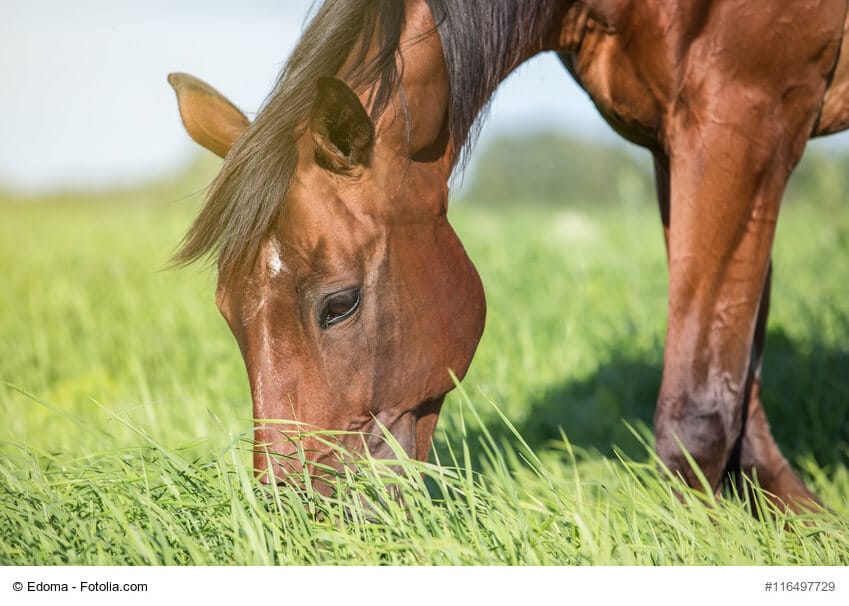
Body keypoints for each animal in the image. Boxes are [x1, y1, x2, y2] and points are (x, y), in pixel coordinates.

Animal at [168, 0, 849, 511]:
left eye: (339, 304)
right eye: (228, 313)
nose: (298, 517)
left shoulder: (741, 118)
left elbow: (699, 408)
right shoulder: (675, 141)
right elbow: (739, 366)